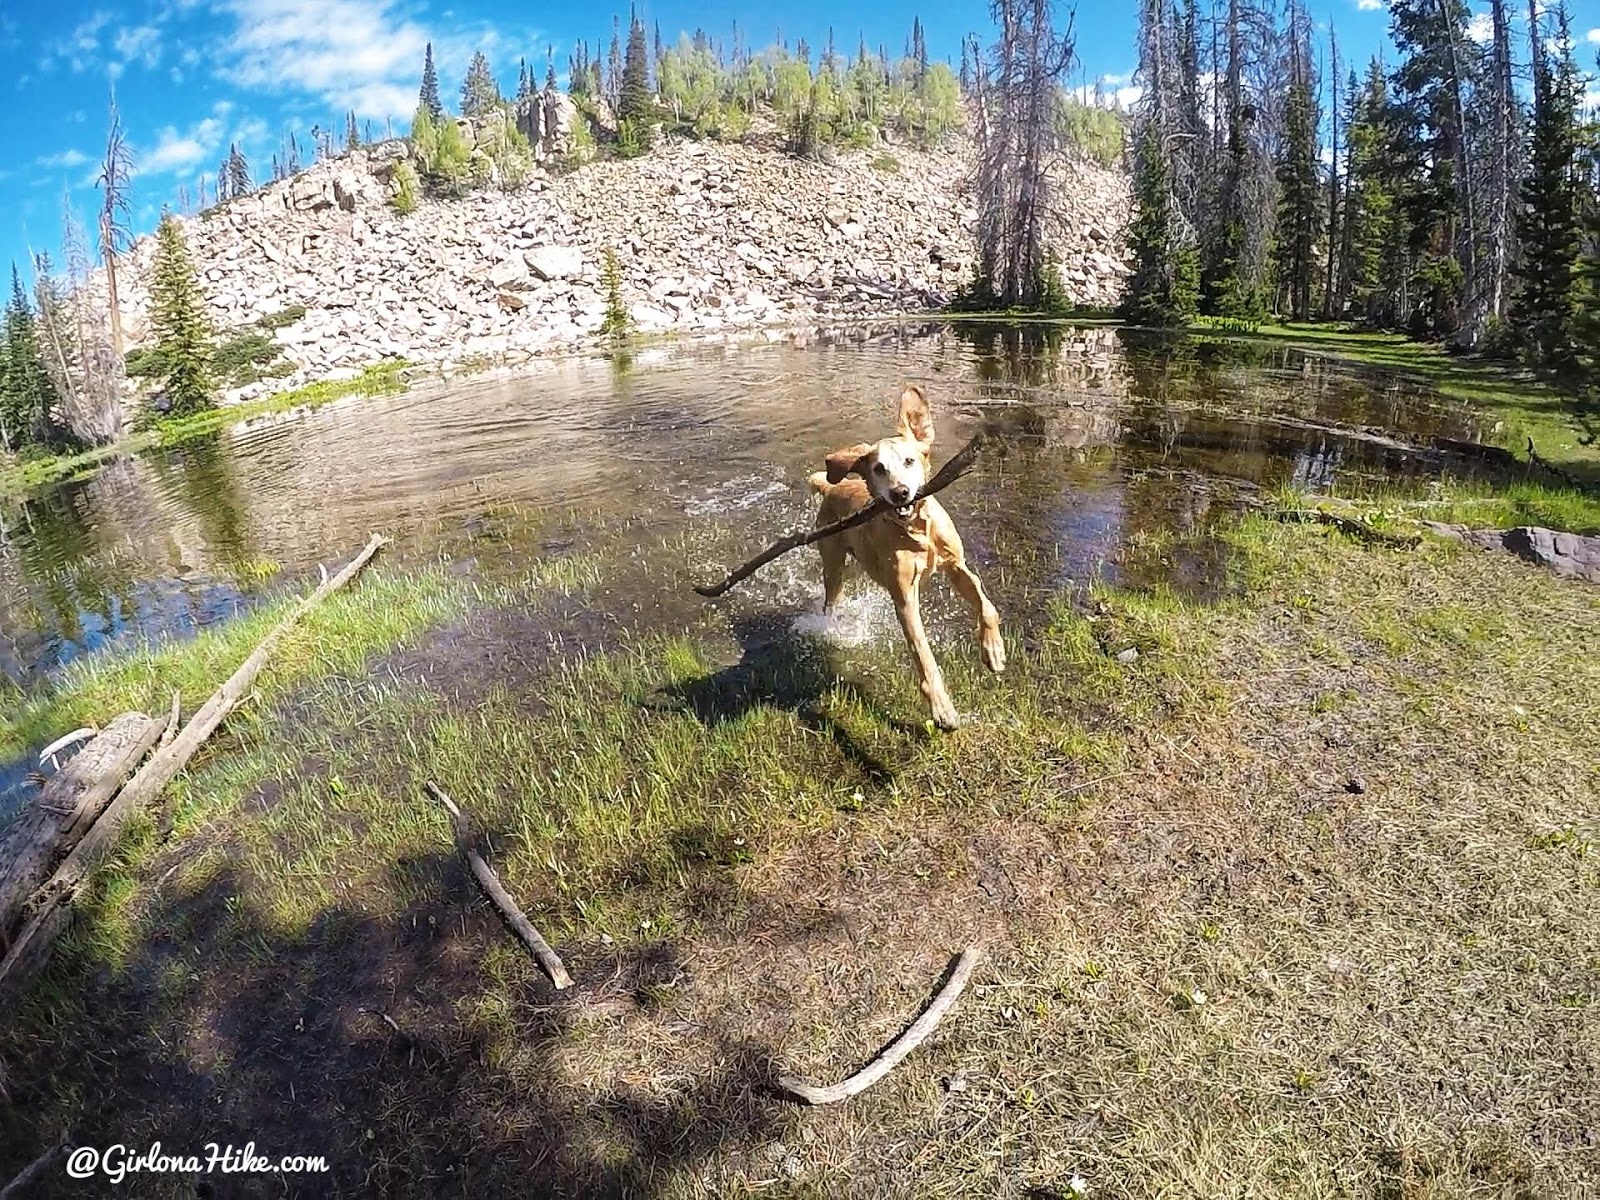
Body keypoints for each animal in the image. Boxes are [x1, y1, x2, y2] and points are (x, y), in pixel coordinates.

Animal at [806, 382, 1004, 732]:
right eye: (878, 469)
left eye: (910, 461)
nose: (899, 493)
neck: (918, 531)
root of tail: (831, 489)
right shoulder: (904, 597)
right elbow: (924, 658)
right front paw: (942, 709)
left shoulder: (956, 566)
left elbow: (986, 605)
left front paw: (993, 650)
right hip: (833, 563)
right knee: (831, 598)